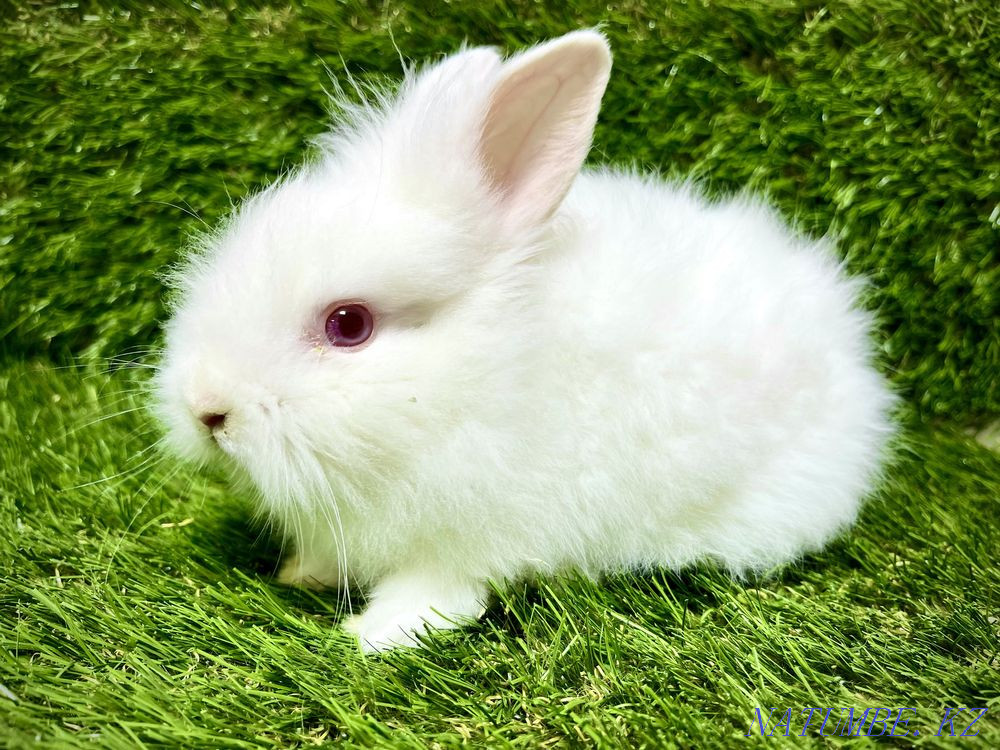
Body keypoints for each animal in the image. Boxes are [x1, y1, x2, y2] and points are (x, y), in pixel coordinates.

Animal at [153, 30, 896, 652]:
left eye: (349, 325)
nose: (207, 411)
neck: (478, 371)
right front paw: (299, 573)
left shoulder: (466, 535)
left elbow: (438, 590)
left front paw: (377, 633)